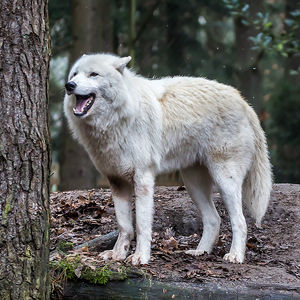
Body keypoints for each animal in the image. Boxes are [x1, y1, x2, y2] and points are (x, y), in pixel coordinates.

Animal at [63, 53, 272, 264]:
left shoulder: (143, 179)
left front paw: (140, 257)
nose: (69, 85)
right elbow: (124, 225)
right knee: (214, 219)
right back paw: (200, 252)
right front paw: (118, 254)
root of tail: (243, 101)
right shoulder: (116, 181)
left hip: (225, 181)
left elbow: (141, 225)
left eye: (93, 74)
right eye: (75, 74)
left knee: (240, 221)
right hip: (193, 185)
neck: (117, 119)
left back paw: (236, 255)